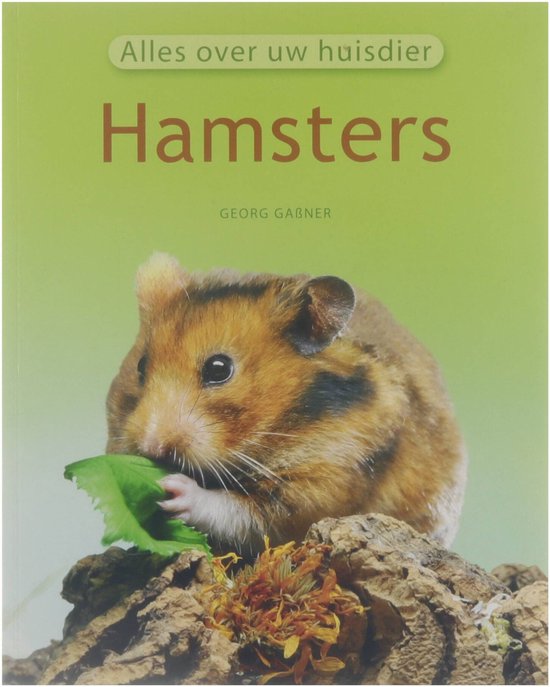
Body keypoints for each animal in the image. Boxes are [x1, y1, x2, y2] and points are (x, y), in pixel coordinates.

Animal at [106, 253, 467, 555]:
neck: (286, 423)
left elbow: (245, 514)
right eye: (141, 366)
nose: (151, 448)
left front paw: (172, 488)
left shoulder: (326, 481)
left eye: (219, 369)